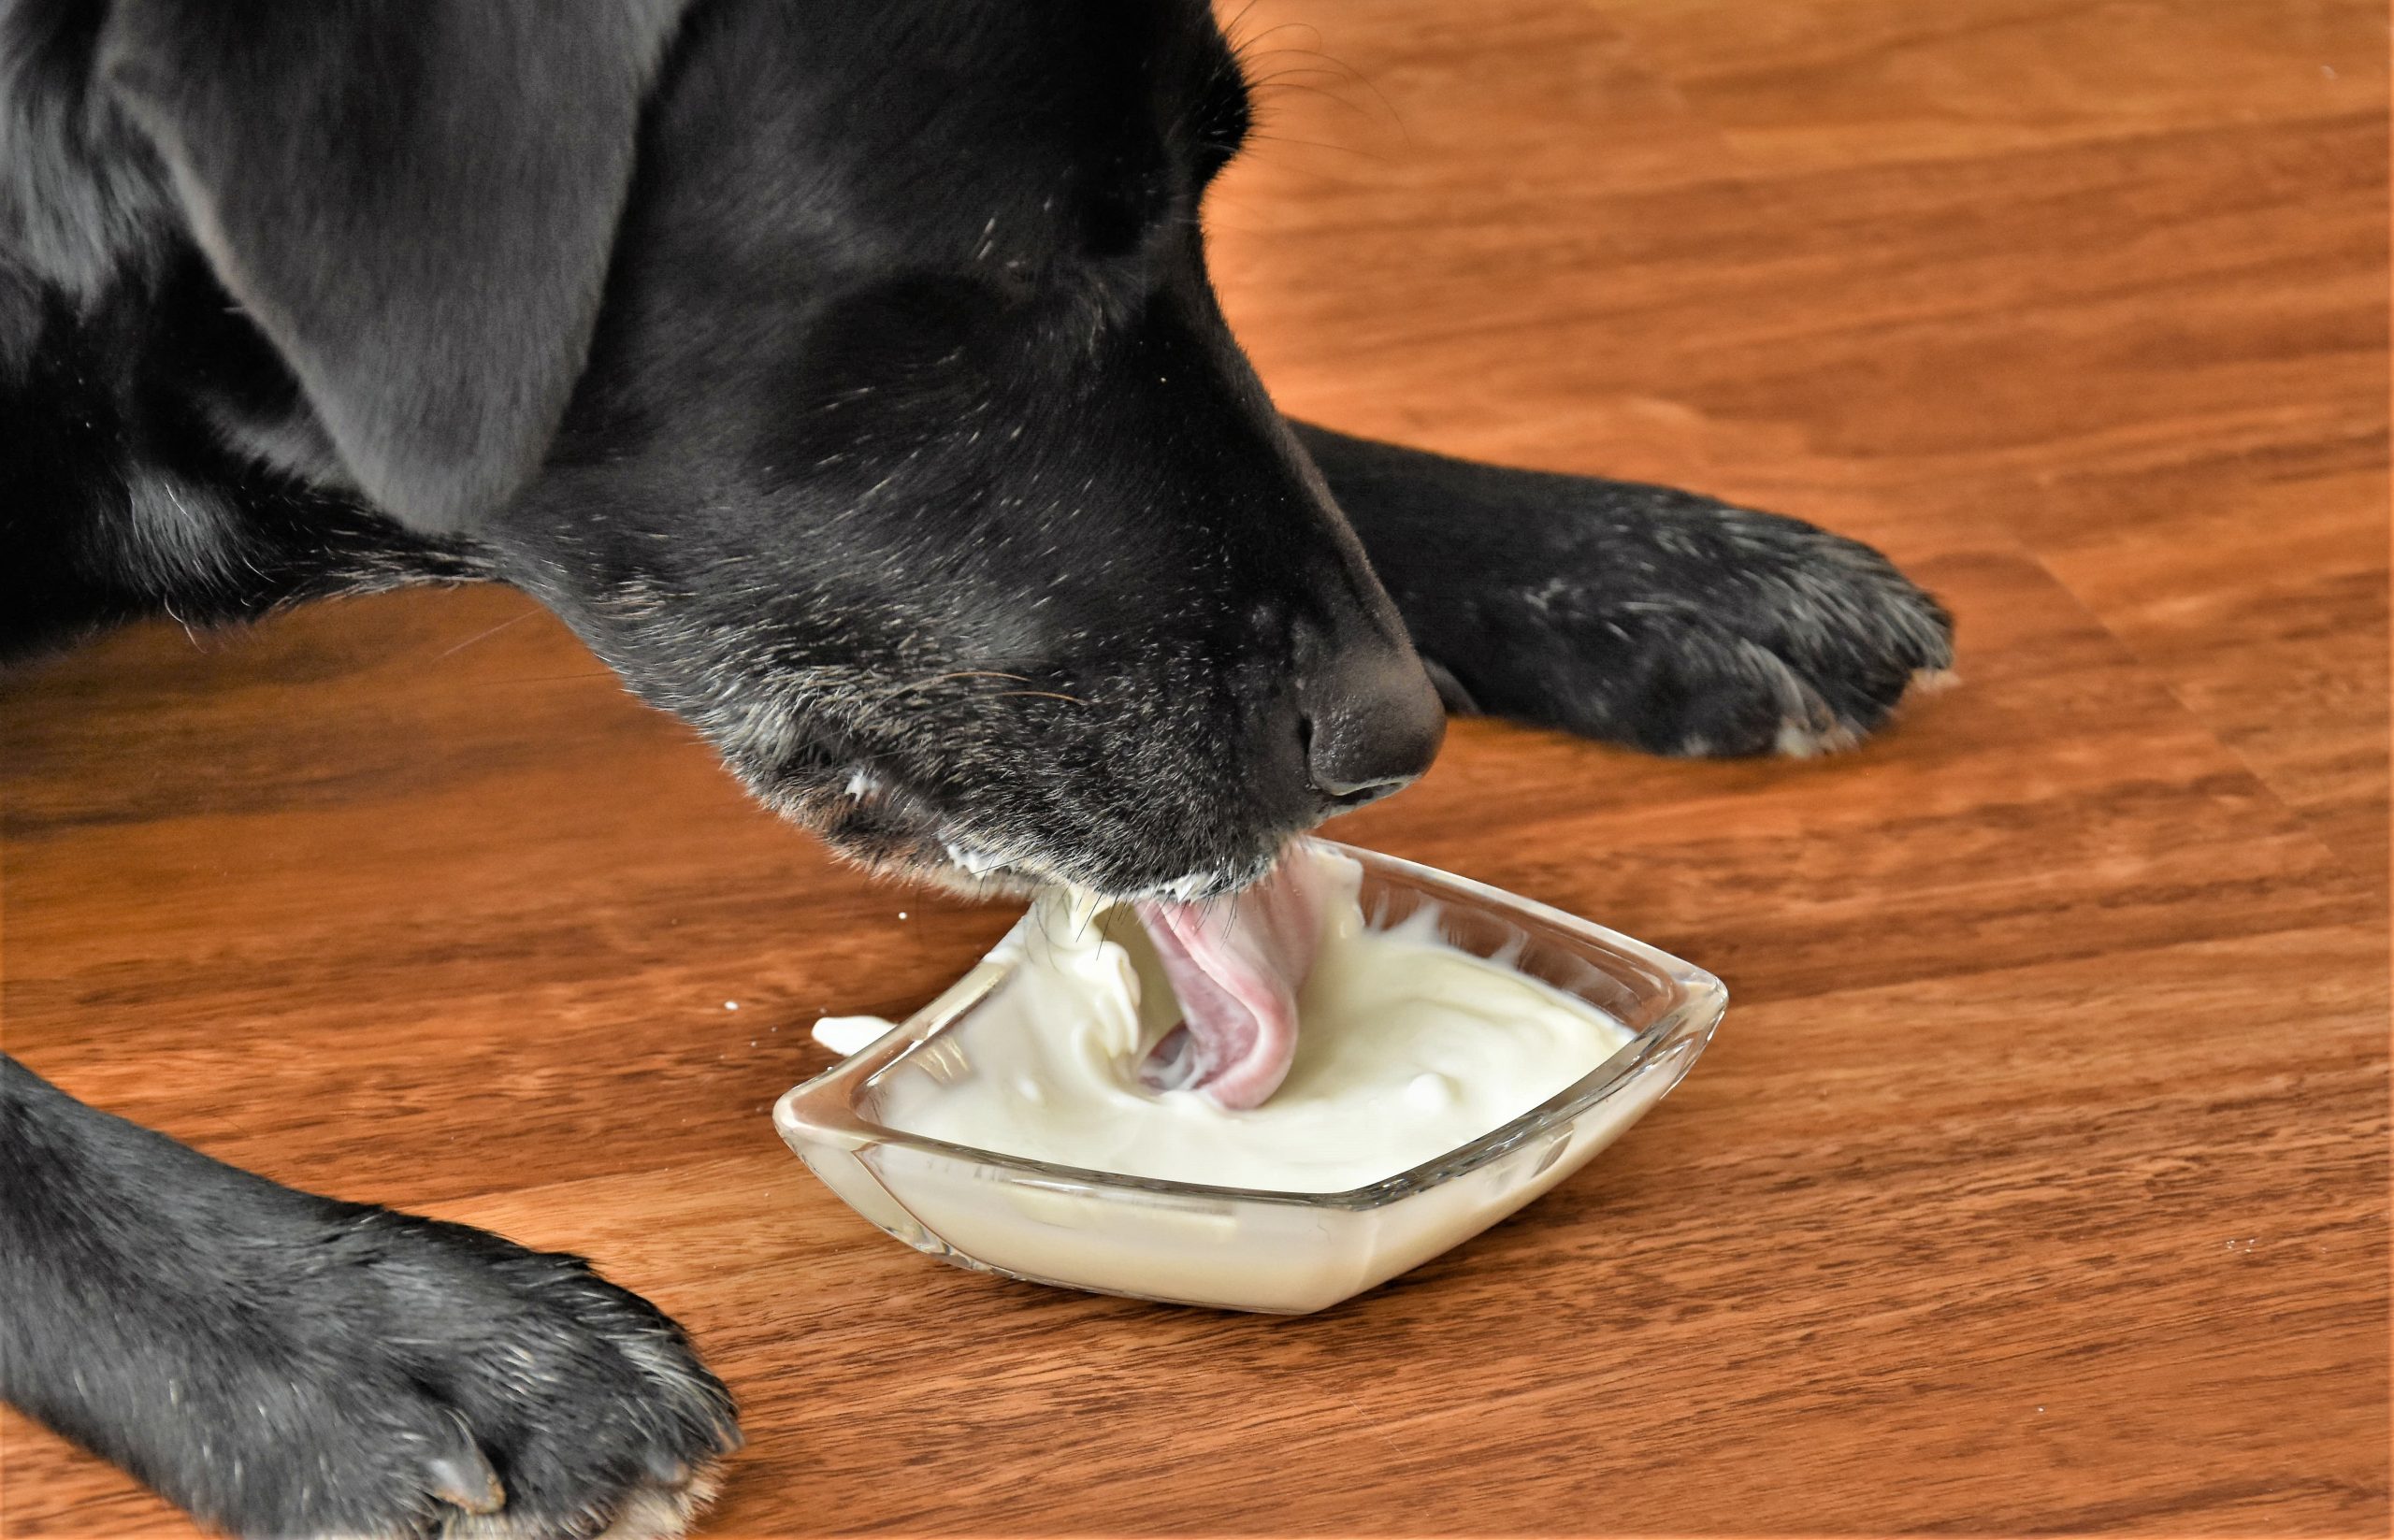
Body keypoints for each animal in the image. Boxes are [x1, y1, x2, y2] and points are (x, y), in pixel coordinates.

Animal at [0, 6, 1943, 1533]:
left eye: (1200, 195)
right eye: (1010, 269)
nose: (1396, 739)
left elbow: (1305, 449)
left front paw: (1636, 556)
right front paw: (370, 1337)